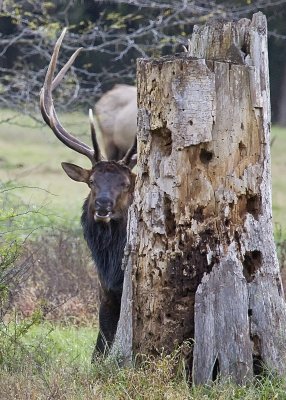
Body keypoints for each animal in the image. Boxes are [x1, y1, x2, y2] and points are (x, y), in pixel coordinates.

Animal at [39, 29, 137, 358]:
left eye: (126, 183)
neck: (112, 270)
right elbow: (99, 351)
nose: (103, 205)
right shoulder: (104, 291)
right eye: (92, 181)